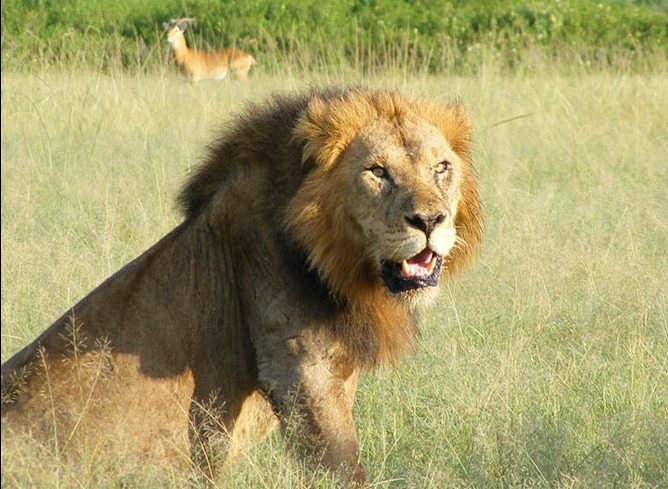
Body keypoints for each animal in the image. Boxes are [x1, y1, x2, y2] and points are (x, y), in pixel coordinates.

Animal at [0, 86, 480, 482]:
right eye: (377, 171)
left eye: (441, 168)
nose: (430, 220)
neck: (341, 266)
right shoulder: (298, 365)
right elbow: (342, 465)